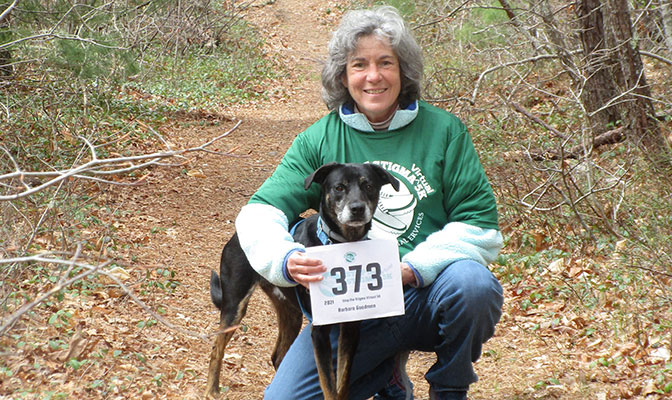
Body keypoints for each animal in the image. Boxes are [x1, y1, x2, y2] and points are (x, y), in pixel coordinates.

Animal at [205, 163, 400, 400]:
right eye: (339, 187)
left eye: (369, 186)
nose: (357, 208)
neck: (341, 243)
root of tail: (238, 234)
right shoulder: (319, 332)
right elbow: (328, 386)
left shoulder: (351, 330)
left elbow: (342, 384)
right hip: (235, 306)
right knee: (216, 349)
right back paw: (211, 390)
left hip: (291, 313)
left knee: (277, 356)